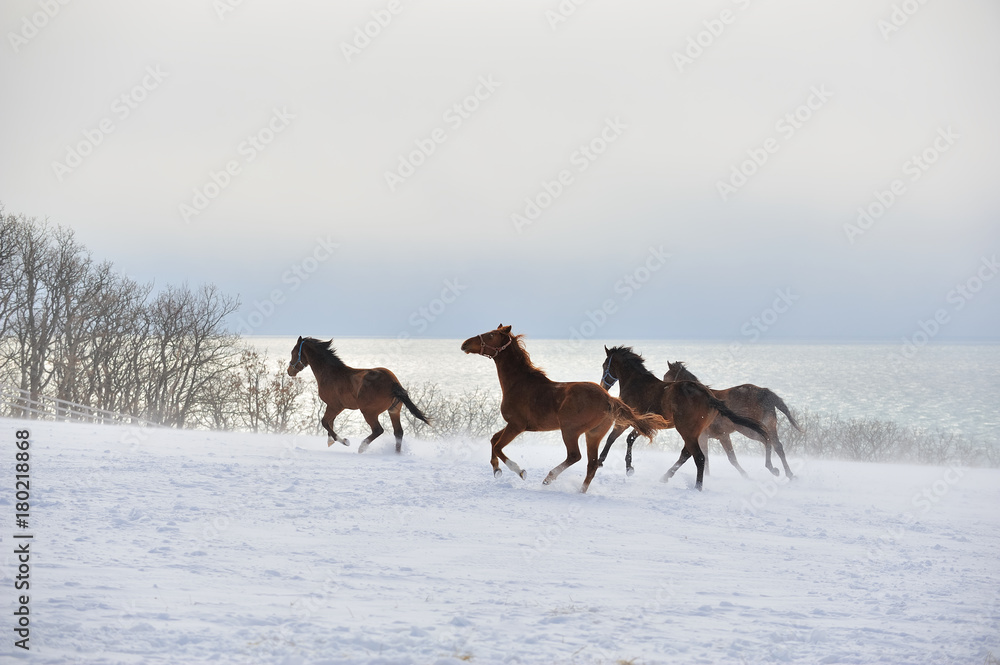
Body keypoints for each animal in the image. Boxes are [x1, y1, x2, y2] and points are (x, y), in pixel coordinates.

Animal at [287, 336, 429, 453]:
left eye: (293, 352)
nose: (289, 371)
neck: (331, 373)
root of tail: (393, 382)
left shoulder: (335, 406)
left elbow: (325, 422)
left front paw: (344, 441)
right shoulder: (334, 407)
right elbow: (329, 423)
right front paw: (331, 441)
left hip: (369, 412)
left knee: (378, 430)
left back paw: (362, 447)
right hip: (393, 411)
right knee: (398, 432)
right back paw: (396, 454)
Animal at [460, 325, 669, 493]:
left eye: (490, 335)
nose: (464, 344)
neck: (519, 383)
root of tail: (608, 398)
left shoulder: (517, 425)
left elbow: (498, 445)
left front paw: (520, 471)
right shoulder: (513, 425)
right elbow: (493, 440)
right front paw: (496, 470)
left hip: (570, 430)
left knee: (575, 456)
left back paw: (548, 479)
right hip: (593, 434)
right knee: (592, 464)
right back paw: (580, 490)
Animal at [596, 346, 770, 490]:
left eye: (604, 365)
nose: (603, 386)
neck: (636, 384)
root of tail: (708, 396)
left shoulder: (626, 420)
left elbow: (612, 438)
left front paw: (601, 462)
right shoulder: (646, 422)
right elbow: (629, 439)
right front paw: (629, 468)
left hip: (686, 430)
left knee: (698, 457)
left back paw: (697, 487)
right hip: (693, 432)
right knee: (687, 454)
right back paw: (666, 477)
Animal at [660, 361, 800, 478]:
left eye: (666, 378)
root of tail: (765, 392)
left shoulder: (704, 437)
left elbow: (708, 457)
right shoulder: (723, 435)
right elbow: (731, 458)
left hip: (749, 429)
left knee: (767, 441)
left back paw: (772, 468)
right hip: (769, 426)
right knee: (778, 446)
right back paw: (789, 474)